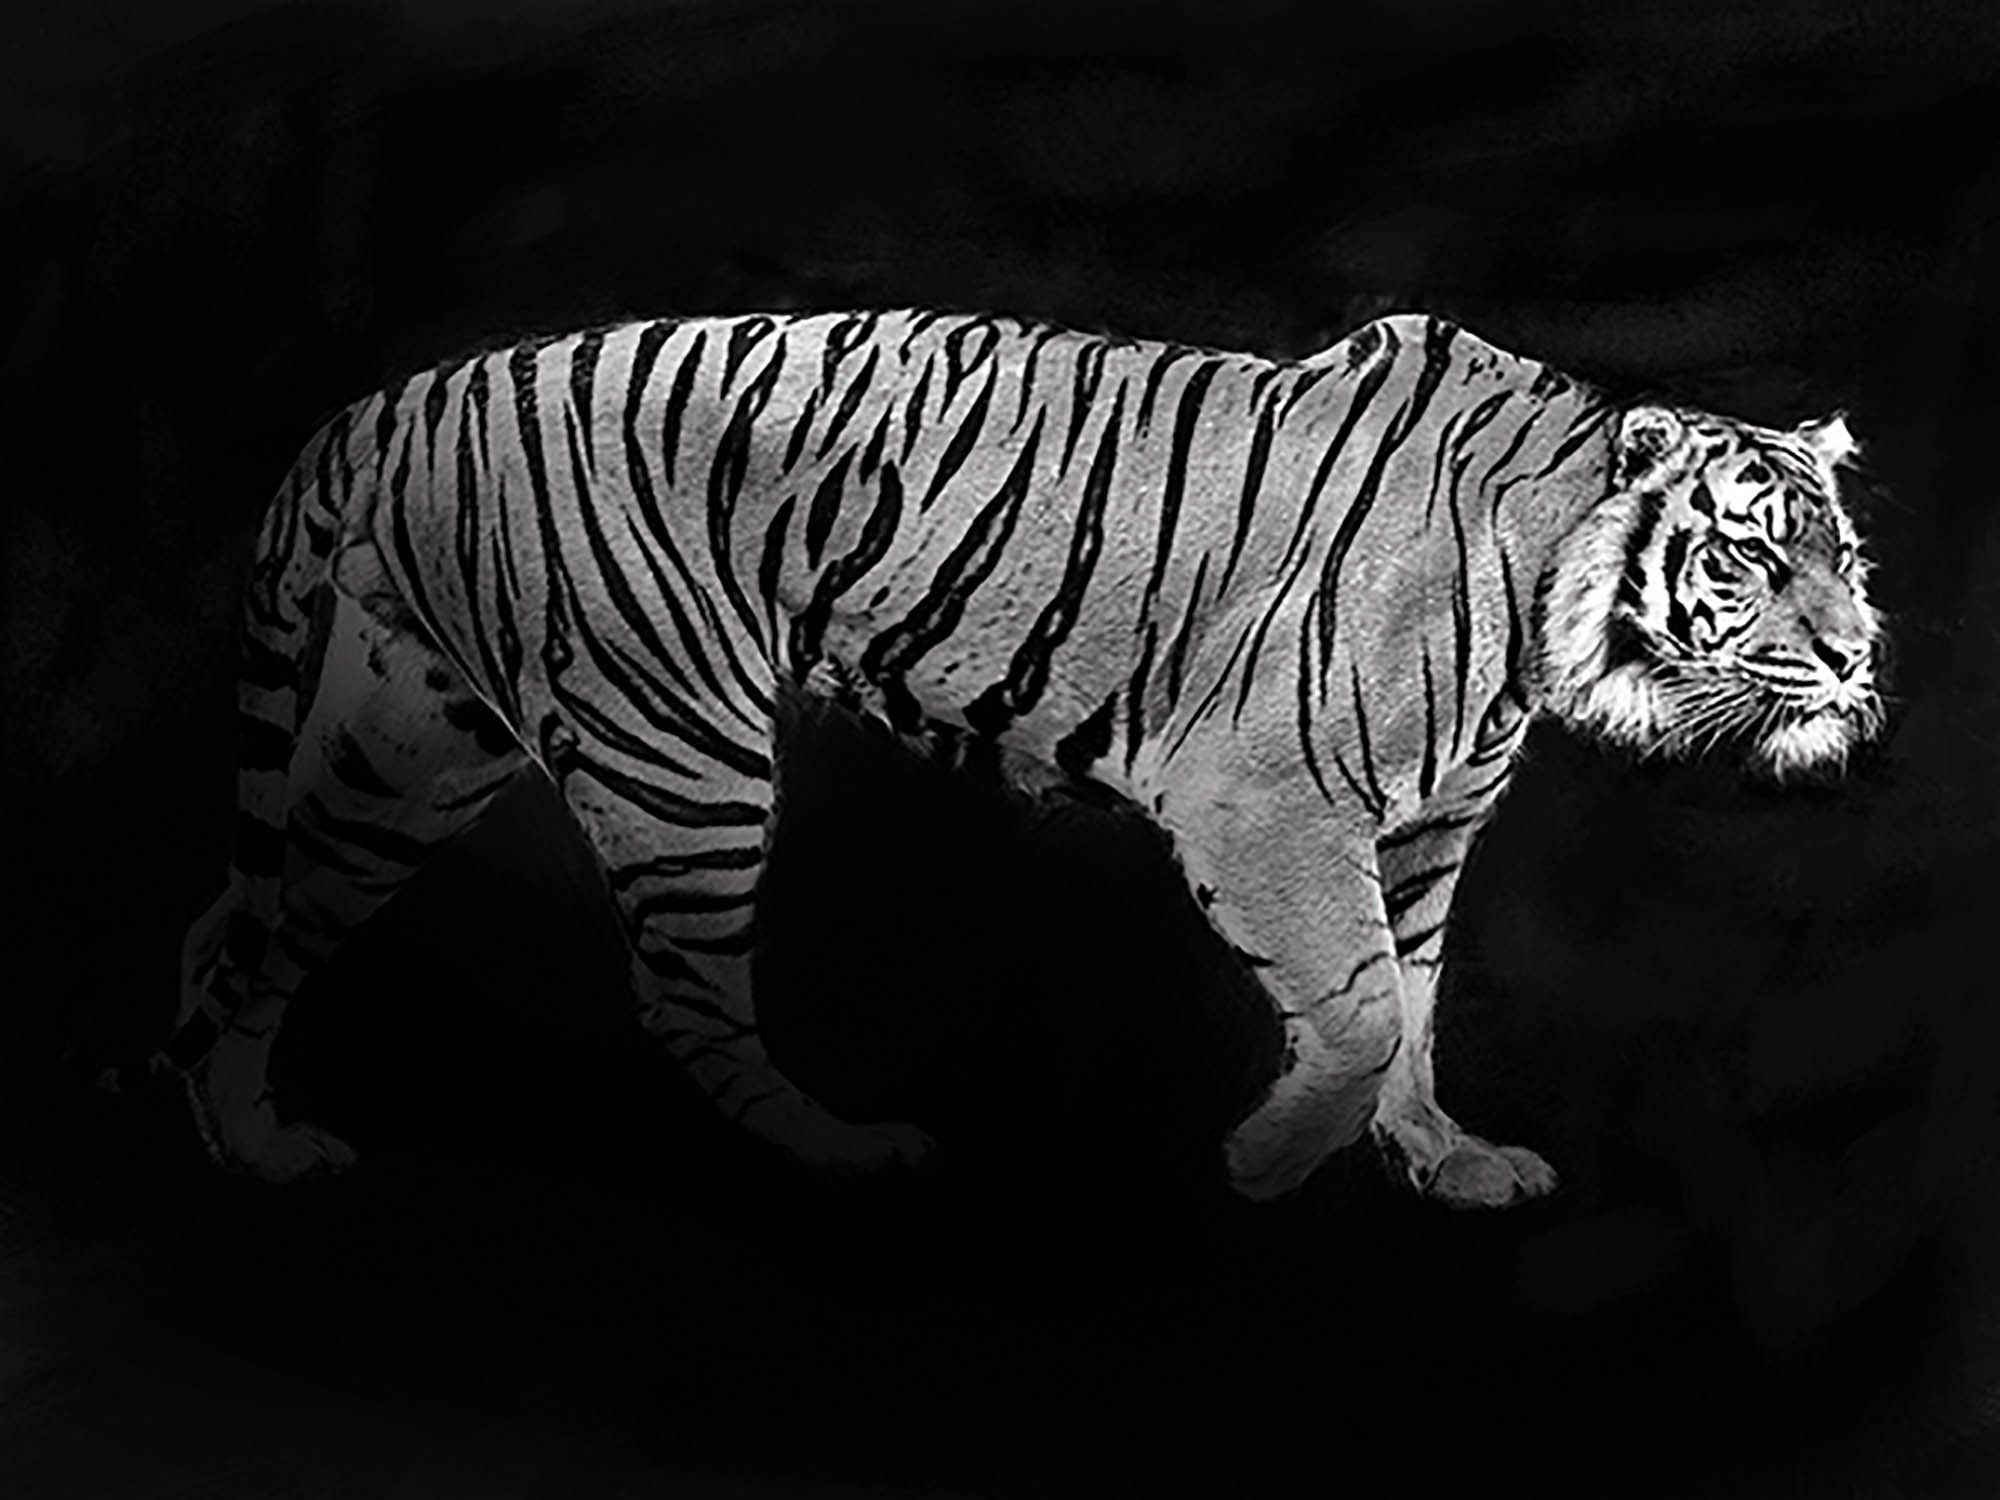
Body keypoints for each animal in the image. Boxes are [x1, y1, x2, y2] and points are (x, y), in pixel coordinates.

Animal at [141, 308, 1882, 1208]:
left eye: (1845, 555)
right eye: (1750, 553)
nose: (1859, 657)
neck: (1536, 610)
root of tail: (395, 398)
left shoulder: (1425, 835)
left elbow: (1421, 1003)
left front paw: (1445, 1161)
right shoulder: (1265, 801)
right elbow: (1367, 1004)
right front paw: (1265, 1163)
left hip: (409, 743)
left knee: (243, 929)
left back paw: (256, 1145)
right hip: (677, 746)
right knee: (679, 993)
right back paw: (846, 1150)